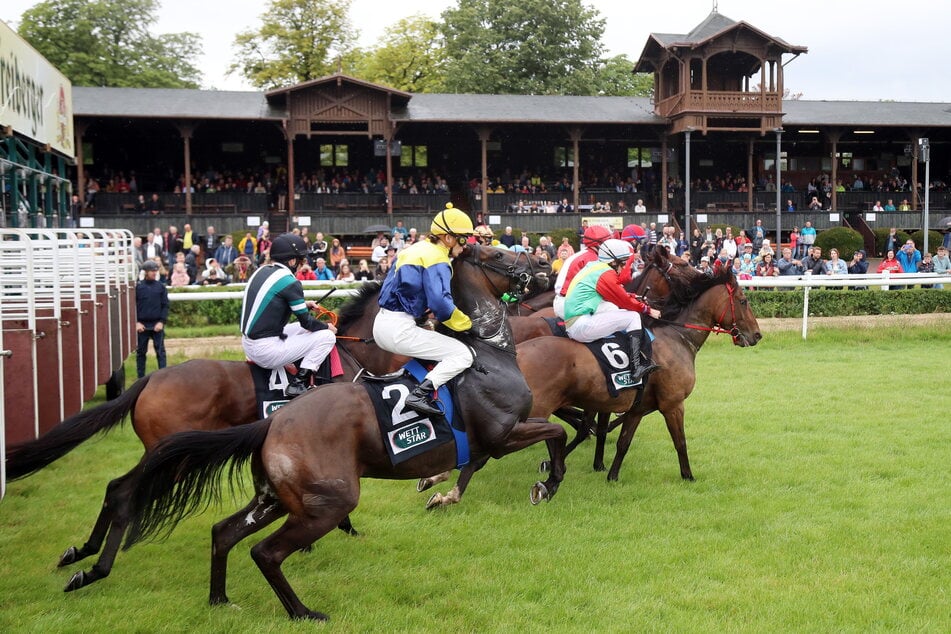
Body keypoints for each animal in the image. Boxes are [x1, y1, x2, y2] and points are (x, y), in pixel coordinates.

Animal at [119, 244, 564, 620]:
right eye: (498, 252)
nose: (546, 263)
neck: (485, 352)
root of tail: (273, 423)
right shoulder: (504, 433)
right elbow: (553, 435)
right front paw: (548, 483)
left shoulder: (486, 440)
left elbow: (473, 466)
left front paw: (441, 491)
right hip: (329, 500)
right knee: (264, 551)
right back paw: (303, 611)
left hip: (275, 498)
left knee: (223, 532)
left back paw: (220, 600)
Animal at [420, 264, 764, 506]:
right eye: (744, 300)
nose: (757, 335)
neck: (677, 338)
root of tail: (512, 356)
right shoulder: (672, 404)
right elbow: (680, 441)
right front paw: (688, 477)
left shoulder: (638, 408)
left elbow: (623, 442)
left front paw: (611, 475)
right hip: (532, 413)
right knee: (491, 450)